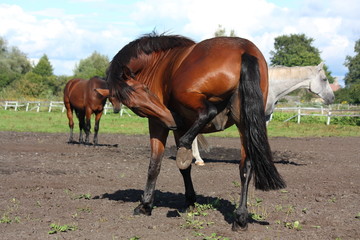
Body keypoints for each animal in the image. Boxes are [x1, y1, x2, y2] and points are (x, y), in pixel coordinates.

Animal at [97, 32, 286, 230]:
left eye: (145, 88)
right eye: (134, 106)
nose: (171, 118)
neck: (158, 62)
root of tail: (244, 49)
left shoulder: (158, 124)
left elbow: (154, 165)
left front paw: (145, 205)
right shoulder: (179, 126)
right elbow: (184, 169)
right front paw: (189, 201)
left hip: (186, 95)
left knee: (208, 111)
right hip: (244, 122)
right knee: (246, 166)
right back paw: (240, 217)